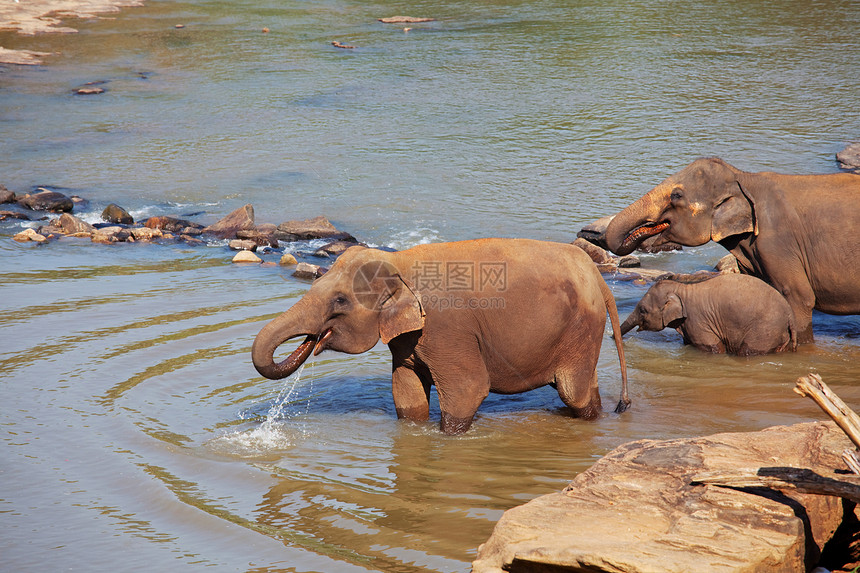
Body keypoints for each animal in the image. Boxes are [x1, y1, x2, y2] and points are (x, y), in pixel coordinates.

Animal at [620, 272, 796, 354]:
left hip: (765, 330)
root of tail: (790, 314)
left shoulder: (698, 321)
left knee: (748, 350)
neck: (682, 289)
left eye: (643, 310)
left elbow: (714, 347)